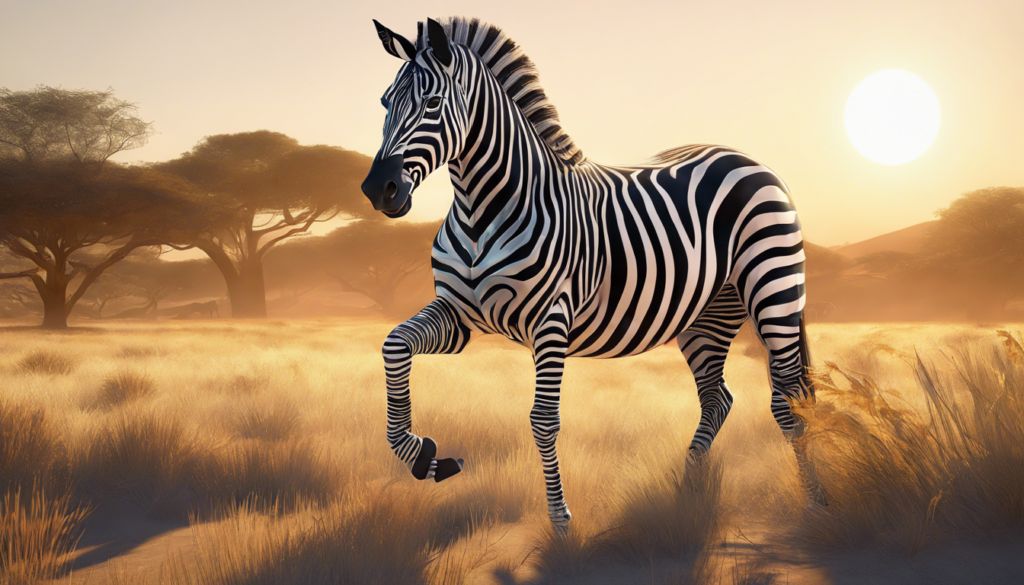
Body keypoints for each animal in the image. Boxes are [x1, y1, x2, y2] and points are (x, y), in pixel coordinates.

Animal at [360, 17, 826, 531]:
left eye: (432, 104)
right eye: (384, 102)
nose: (377, 190)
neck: (481, 210)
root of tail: (744, 156)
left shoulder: (551, 320)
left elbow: (544, 420)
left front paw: (561, 523)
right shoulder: (460, 315)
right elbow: (394, 345)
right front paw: (424, 456)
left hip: (773, 288)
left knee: (789, 400)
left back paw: (814, 504)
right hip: (707, 312)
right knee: (717, 398)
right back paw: (685, 496)